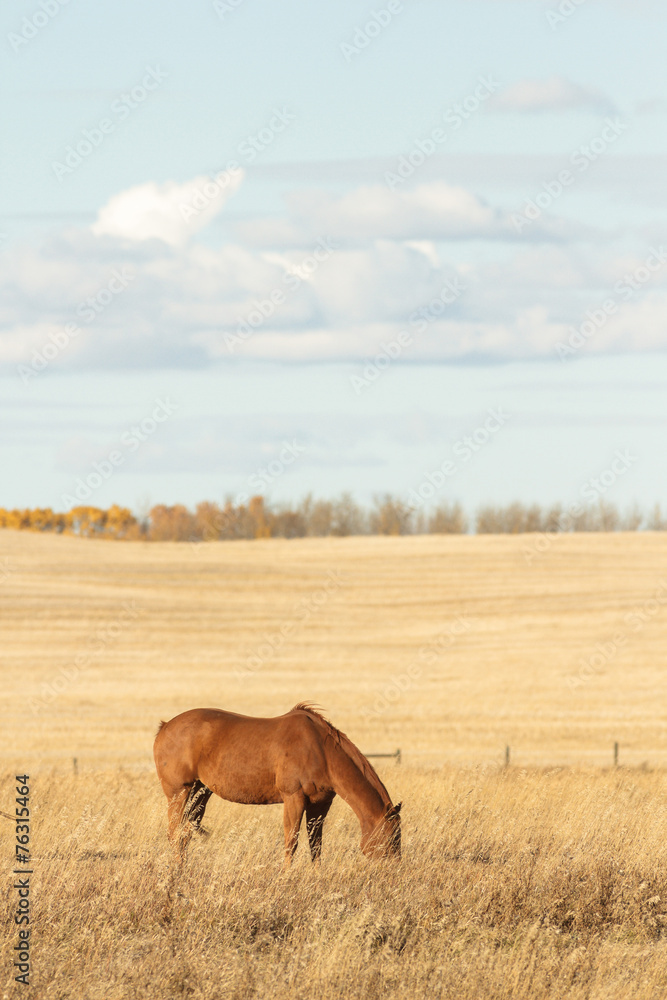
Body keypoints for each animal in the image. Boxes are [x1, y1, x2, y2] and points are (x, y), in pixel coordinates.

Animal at [153, 702, 401, 868]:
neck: (320, 751)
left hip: (200, 792)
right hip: (179, 792)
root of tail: (165, 727)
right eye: (392, 837)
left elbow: (316, 844)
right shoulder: (294, 798)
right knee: (175, 834)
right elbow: (291, 841)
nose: (394, 869)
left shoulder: (320, 805)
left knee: (185, 834)